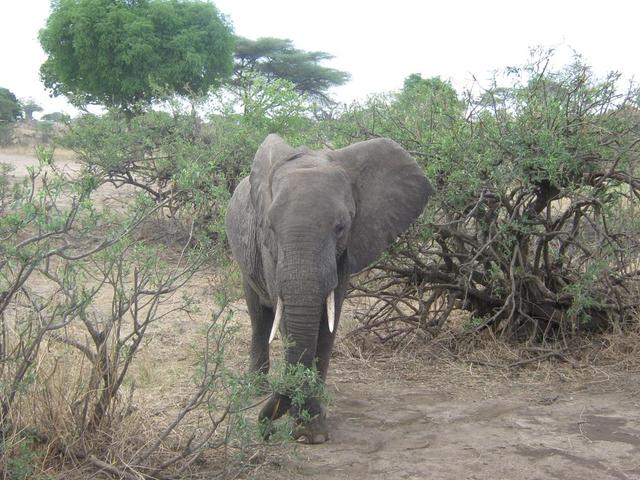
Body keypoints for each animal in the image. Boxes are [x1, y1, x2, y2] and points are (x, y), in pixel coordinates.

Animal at [225, 134, 436, 442]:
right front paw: (307, 428)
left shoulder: (348, 248)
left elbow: (329, 321)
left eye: (340, 227)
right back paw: (255, 388)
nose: (266, 430)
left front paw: (313, 429)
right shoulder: (268, 250)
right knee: (259, 317)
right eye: (271, 228)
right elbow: (288, 320)